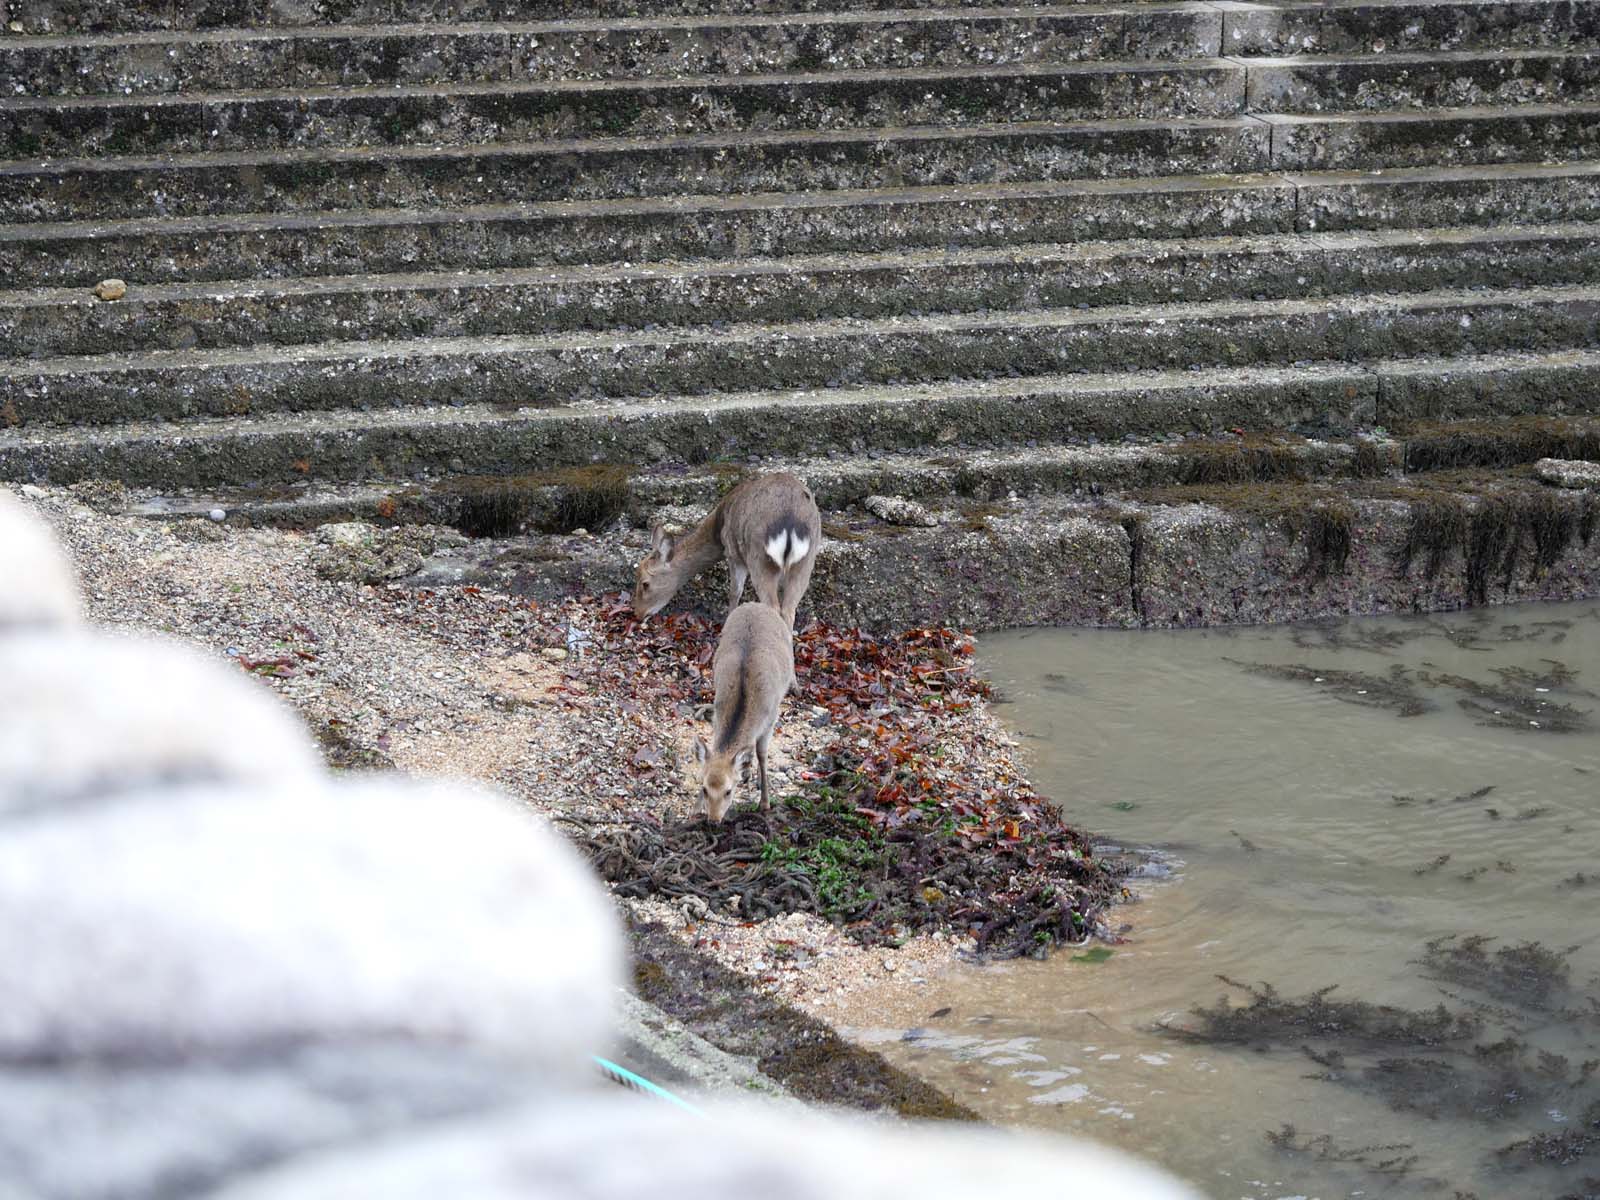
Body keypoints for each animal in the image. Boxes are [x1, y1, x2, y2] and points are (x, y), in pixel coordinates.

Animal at [630, 473, 819, 633]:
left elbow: (734, 591)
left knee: (773, 606)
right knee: (788, 610)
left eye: (645, 583)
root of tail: (790, 520)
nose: (638, 614)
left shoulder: (733, 554)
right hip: (805, 563)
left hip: (759, 559)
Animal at [697, 601, 796, 825]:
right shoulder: (717, 715)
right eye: (704, 788)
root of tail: (756, 604)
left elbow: (762, 754)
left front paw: (765, 803)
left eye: (728, 791)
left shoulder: (771, 718)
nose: (713, 820)